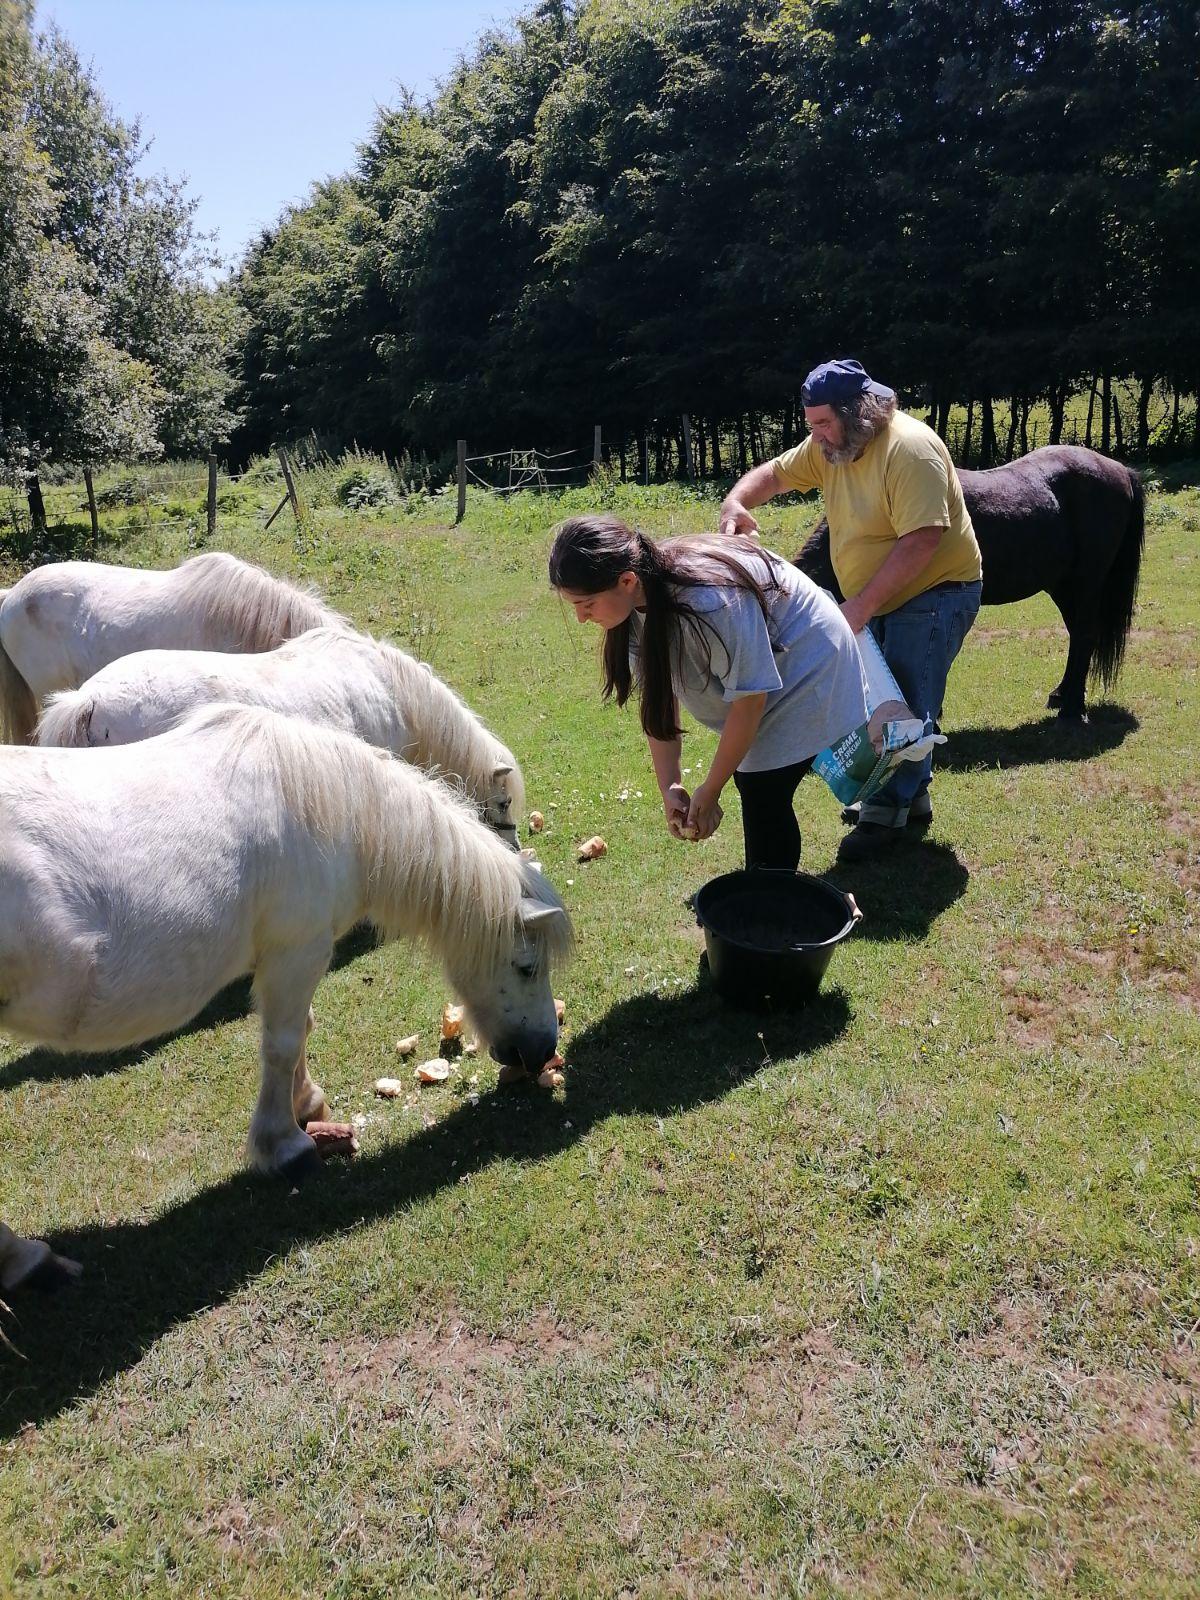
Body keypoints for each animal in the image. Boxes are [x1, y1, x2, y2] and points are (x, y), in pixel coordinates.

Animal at [0, 707, 572, 1216]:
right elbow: (283, 1043)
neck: (335, 809)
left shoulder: (292, 958)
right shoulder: (297, 952)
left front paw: (308, 1106)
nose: (542, 1050)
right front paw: (285, 1147)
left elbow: (302, 1029)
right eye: (527, 967)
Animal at [800, 444, 1145, 720]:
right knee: (1078, 636)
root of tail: (1120, 470)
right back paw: (1062, 695)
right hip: (1063, 586)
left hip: (1086, 583)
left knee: (1085, 635)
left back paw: (1072, 711)